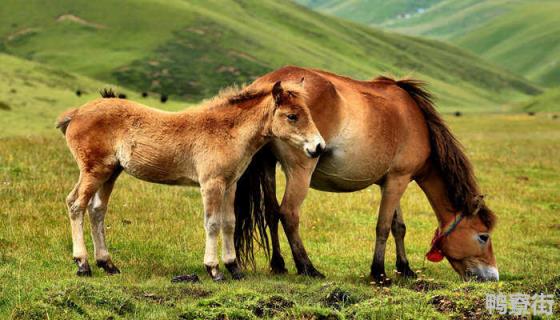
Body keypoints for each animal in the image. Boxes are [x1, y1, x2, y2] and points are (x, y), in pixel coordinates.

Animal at [234, 65, 496, 282]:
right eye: (483, 236)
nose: (493, 276)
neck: (417, 122)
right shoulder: (399, 180)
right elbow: (383, 226)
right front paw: (378, 272)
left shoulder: (390, 181)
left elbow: (398, 226)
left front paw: (405, 268)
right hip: (301, 170)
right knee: (288, 213)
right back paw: (307, 267)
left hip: (267, 166)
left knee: (271, 213)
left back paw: (278, 264)